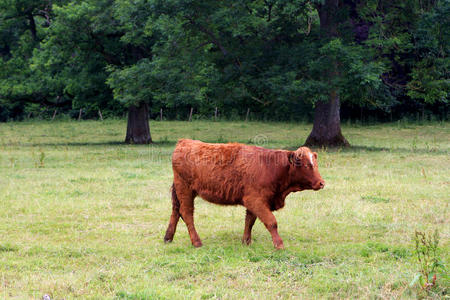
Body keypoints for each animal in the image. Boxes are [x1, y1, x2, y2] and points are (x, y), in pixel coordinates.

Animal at [163, 139, 326, 250]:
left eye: (316, 164)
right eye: (306, 165)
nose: (321, 183)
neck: (271, 167)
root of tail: (184, 142)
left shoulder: (252, 201)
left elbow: (249, 221)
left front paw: (246, 241)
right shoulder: (255, 200)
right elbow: (271, 222)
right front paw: (279, 244)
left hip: (181, 191)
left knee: (176, 211)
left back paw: (168, 237)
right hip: (185, 190)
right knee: (186, 213)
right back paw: (196, 242)